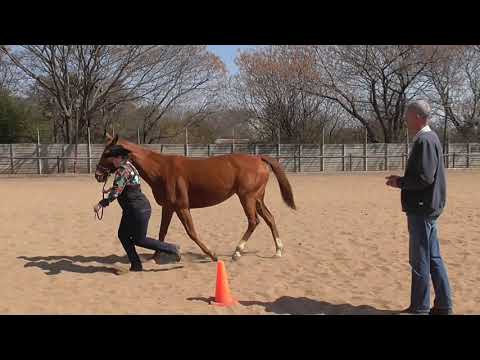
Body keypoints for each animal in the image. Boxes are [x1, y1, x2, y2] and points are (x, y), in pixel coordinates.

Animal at [94, 134, 296, 262]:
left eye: (106, 153)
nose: (98, 175)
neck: (161, 170)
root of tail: (259, 158)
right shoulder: (169, 207)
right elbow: (162, 232)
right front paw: (155, 257)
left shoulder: (182, 207)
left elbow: (191, 232)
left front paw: (212, 255)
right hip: (258, 198)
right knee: (269, 218)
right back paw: (278, 251)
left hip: (247, 198)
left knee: (254, 221)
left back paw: (237, 252)